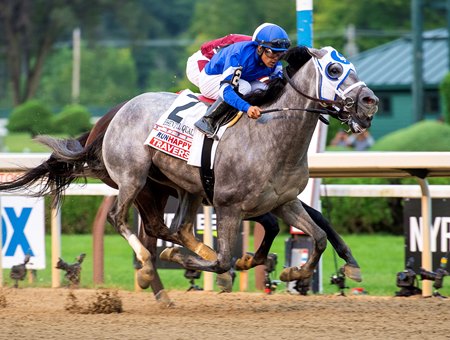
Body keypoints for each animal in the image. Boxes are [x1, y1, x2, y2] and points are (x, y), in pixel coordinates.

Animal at [0, 44, 378, 290]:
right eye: (334, 70)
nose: (370, 101)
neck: (271, 134)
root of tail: (115, 113)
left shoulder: (283, 201)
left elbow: (317, 236)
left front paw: (293, 274)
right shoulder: (229, 205)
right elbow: (225, 258)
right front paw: (198, 262)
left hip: (181, 187)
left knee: (174, 227)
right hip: (134, 178)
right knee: (121, 219)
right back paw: (149, 264)